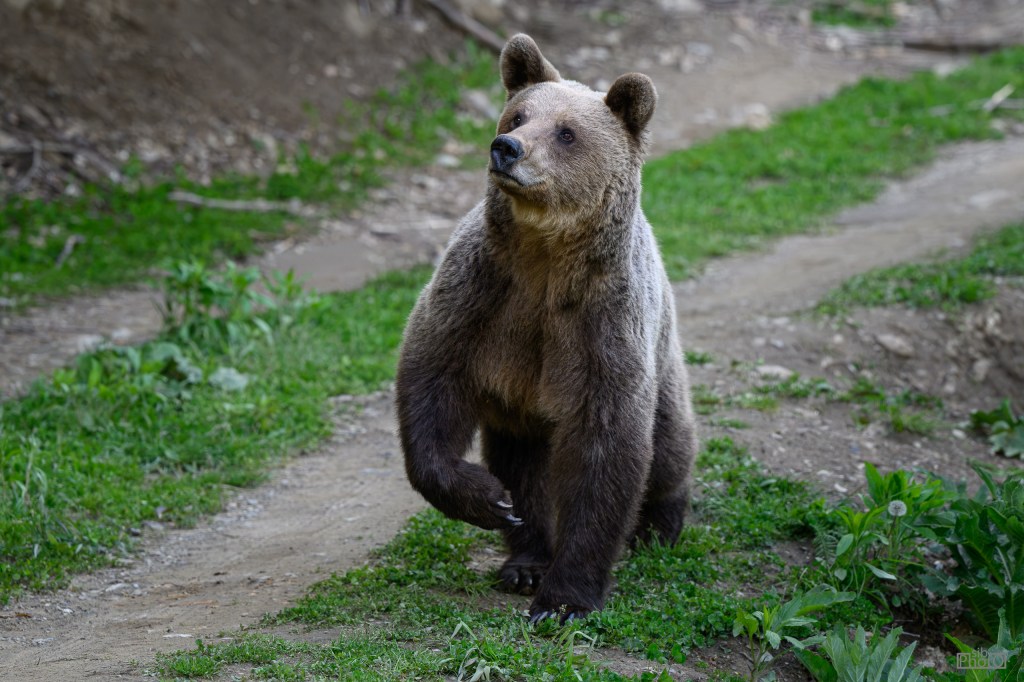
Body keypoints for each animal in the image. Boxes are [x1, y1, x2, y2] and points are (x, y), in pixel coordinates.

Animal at [395, 34, 698, 623]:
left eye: (567, 132)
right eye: (518, 114)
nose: (506, 148)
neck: (543, 262)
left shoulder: (601, 330)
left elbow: (607, 453)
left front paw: (565, 599)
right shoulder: (478, 304)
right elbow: (430, 388)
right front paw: (491, 499)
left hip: (661, 352)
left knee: (670, 441)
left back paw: (659, 525)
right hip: (521, 406)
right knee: (526, 467)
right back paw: (526, 558)